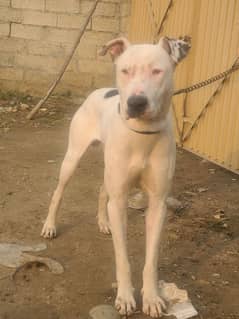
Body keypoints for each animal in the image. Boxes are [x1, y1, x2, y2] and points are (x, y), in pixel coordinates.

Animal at [40, 37, 190, 318]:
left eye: (157, 71)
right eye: (125, 70)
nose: (136, 103)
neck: (143, 135)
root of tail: (99, 91)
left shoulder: (158, 204)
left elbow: (151, 260)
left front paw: (151, 297)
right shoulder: (120, 201)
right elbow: (122, 258)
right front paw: (125, 297)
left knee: (102, 190)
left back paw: (103, 222)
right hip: (72, 158)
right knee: (58, 192)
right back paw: (50, 226)